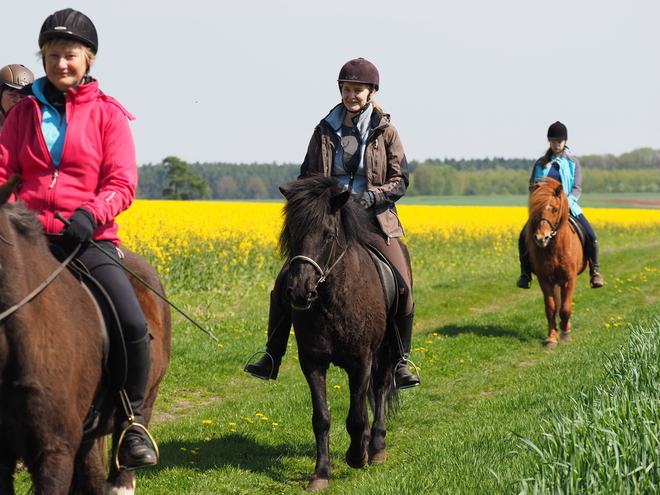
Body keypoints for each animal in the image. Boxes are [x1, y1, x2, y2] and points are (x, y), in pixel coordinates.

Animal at [280, 177, 398, 492]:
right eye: (291, 234)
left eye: (329, 236)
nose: (300, 292)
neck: (332, 300)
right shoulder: (312, 362)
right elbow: (321, 418)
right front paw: (321, 473)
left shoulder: (362, 360)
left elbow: (357, 417)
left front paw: (357, 456)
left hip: (387, 351)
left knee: (381, 388)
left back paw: (376, 447)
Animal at [524, 176, 588, 346]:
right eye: (536, 209)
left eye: (554, 209)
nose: (541, 238)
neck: (554, 247)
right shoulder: (545, 279)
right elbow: (551, 308)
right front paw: (552, 337)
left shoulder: (569, 278)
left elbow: (565, 308)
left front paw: (566, 334)